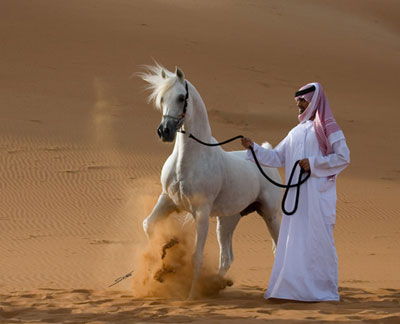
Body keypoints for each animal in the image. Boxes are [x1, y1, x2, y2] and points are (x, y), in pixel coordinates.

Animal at [141, 64, 282, 298]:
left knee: (277, 247)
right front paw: (158, 268)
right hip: (228, 220)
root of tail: (267, 153)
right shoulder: (167, 200)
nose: (164, 131)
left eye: (181, 97)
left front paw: (190, 296)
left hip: (270, 215)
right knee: (227, 258)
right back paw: (216, 285)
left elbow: (196, 256)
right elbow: (148, 224)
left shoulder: (201, 212)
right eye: (161, 98)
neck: (187, 161)